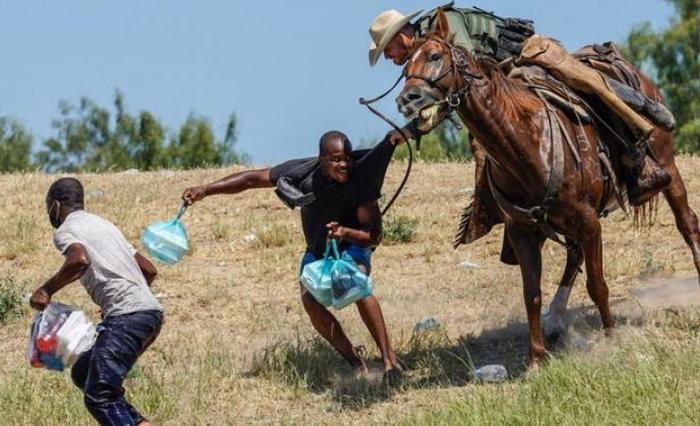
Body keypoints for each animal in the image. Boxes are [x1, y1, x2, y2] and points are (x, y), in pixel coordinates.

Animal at [396, 10, 700, 370]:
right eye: (405, 65)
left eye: (434, 56)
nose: (407, 99)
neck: (524, 141)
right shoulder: (523, 231)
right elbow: (532, 294)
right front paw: (536, 359)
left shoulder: (588, 222)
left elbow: (597, 285)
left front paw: (612, 337)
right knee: (574, 255)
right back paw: (555, 319)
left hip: (667, 164)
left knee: (687, 222)